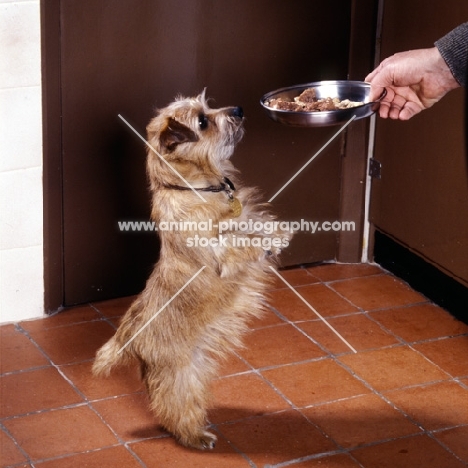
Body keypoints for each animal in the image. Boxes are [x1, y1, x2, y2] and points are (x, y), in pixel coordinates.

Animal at [92, 90, 292, 450]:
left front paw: (277, 234)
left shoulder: (244, 213)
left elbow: (255, 221)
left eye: (209, 108)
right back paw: (195, 436)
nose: (238, 109)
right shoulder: (221, 252)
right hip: (182, 375)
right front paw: (273, 239)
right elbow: (242, 239)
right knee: (174, 407)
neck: (195, 187)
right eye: (202, 121)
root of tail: (130, 337)